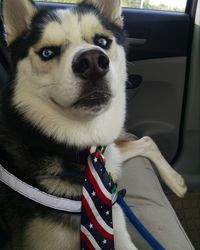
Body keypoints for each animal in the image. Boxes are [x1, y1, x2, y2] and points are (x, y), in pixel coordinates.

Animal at [0, 0, 188, 249]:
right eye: (47, 52)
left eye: (102, 42)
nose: (92, 62)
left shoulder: (117, 227)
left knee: (146, 141)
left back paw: (176, 181)